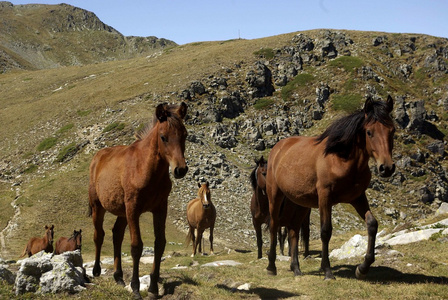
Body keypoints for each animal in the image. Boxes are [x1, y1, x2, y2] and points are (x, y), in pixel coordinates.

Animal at [88, 102, 188, 298]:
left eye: (185, 135)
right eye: (163, 137)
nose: (180, 170)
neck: (145, 169)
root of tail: (98, 157)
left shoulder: (160, 208)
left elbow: (160, 243)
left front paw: (153, 288)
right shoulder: (133, 208)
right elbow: (136, 246)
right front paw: (135, 287)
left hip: (122, 212)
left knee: (117, 234)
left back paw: (119, 277)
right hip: (99, 207)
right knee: (99, 235)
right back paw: (96, 271)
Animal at [266, 96, 396, 278]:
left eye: (392, 131)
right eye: (369, 132)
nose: (387, 168)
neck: (341, 159)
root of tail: (278, 147)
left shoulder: (357, 197)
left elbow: (372, 224)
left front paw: (362, 268)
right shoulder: (325, 197)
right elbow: (326, 231)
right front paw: (327, 270)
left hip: (299, 203)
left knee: (293, 231)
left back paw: (296, 268)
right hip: (275, 196)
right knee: (274, 225)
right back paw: (271, 266)